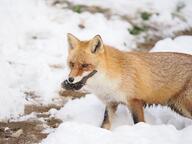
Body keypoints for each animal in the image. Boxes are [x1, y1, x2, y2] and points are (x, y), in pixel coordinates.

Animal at [62, 33, 192, 129]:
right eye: (72, 64)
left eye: (85, 65)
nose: (70, 79)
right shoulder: (111, 102)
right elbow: (105, 124)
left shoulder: (134, 101)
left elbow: (139, 123)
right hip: (178, 107)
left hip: (184, 106)